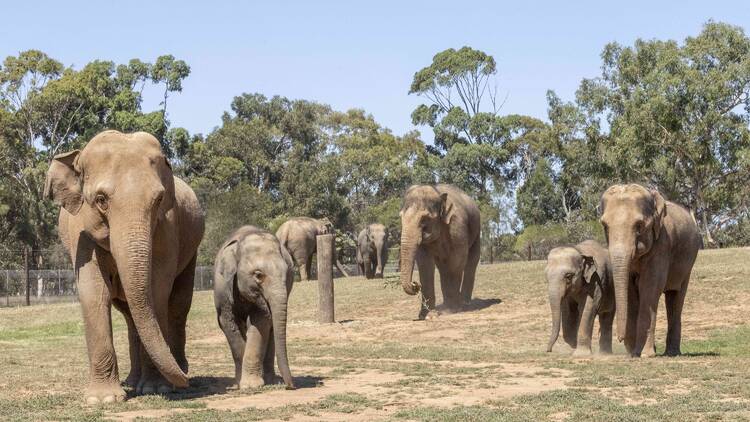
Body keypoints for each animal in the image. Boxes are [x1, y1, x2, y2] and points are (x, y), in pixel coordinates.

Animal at [43, 130, 203, 404]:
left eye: (159, 199)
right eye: (100, 200)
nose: (183, 379)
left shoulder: (166, 229)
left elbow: (157, 292)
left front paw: (156, 389)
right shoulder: (81, 234)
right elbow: (94, 293)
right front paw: (103, 399)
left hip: (191, 251)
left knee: (178, 305)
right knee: (130, 317)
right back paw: (134, 381)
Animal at [400, 185, 482, 320]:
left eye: (424, 219)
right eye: (400, 217)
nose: (415, 284)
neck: (437, 193)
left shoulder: (457, 227)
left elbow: (457, 260)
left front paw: (451, 310)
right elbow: (425, 265)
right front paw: (427, 315)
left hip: (477, 231)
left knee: (471, 262)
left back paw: (464, 304)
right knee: (443, 268)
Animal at [600, 185, 704, 356]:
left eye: (639, 226)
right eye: (605, 226)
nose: (620, 339)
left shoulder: (662, 244)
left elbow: (650, 287)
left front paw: (645, 354)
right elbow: (631, 291)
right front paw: (634, 353)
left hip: (688, 265)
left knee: (676, 297)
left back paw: (672, 353)